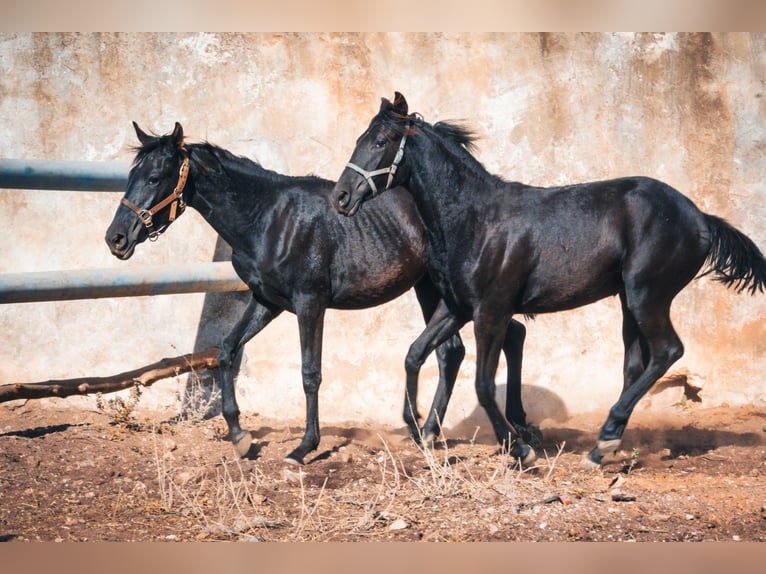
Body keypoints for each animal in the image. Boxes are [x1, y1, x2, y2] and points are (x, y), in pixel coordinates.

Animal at [106, 124, 476, 466]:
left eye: (155, 177)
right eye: (131, 175)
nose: (116, 239)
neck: (269, 219)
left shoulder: (310, 303)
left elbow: (310, 373)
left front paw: (304, 447)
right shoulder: (267, 301)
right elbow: (226, 350)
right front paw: (240, 437)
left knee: (446, 352)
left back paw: (425, 432)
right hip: (428, 289)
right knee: (449, 353)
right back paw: (427, 433)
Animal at [336, 91, 766, 468]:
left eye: (381, 141)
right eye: (358, 139)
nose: (341, 197)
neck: (475, 220)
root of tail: (702, 219)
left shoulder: (491, 311)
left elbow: (482, 384)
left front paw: (519, 448)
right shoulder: (457, 307)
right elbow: (415, 353)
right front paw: (419, 428)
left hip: (648, 295)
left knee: (667, 352)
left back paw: (603, 440)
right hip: (629, 301)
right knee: (635, 364)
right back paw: (602, 447)